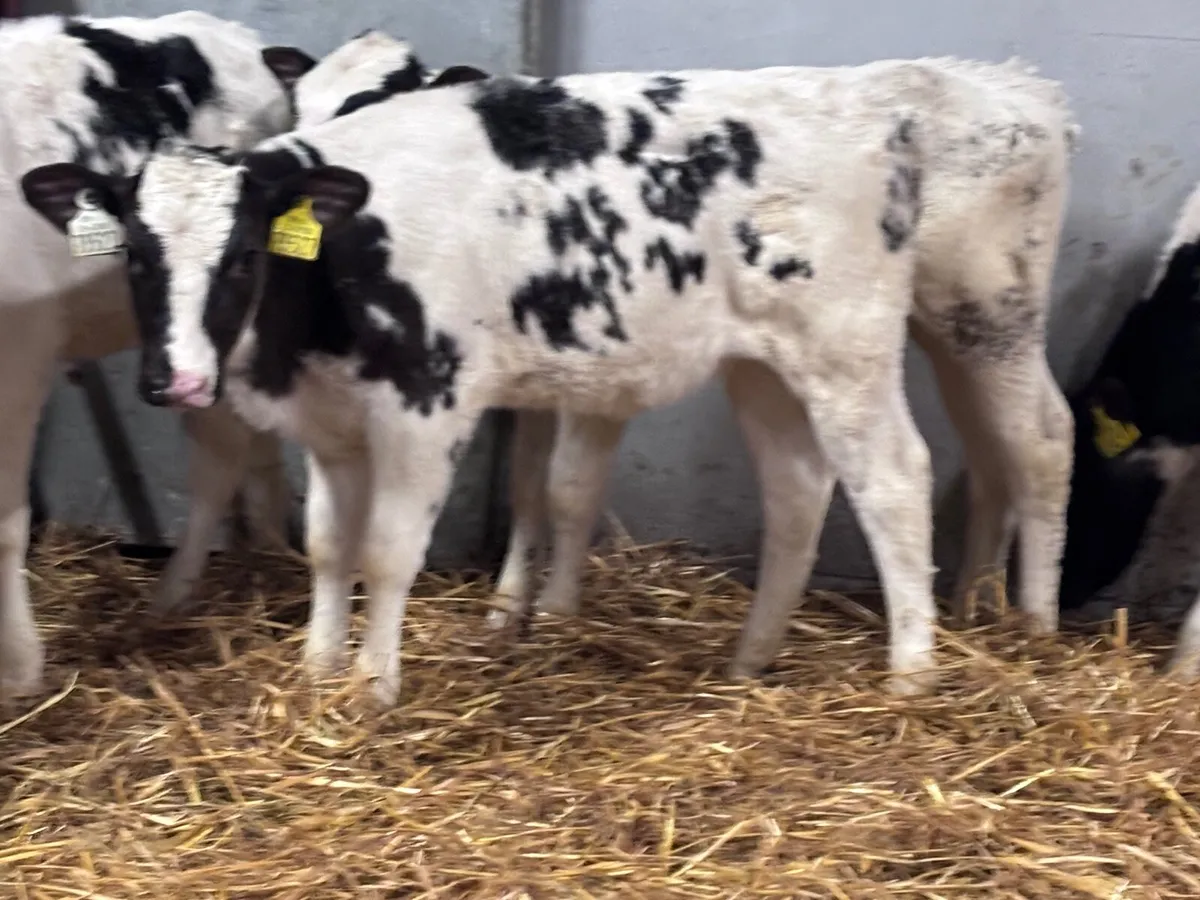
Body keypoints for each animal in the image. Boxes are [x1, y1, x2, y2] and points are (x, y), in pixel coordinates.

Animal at [22, 62, 963, 703]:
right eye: (135, 255)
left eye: (245, 253)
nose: (175, 379)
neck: (343, 268)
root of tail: (866, 104)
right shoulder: (331, 424)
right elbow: (330, 545)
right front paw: (319, 668)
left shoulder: (426, 407)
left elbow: (388, 552)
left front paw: (372, 688)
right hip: (759, 361)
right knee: (797, 488)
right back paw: (750, 658)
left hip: (846, 347)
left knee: (894, 480)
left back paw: (911, 674)